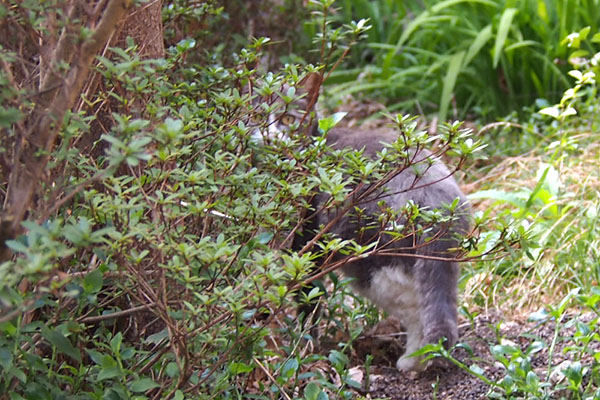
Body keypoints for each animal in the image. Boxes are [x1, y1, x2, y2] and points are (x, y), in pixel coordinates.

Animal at [251, 72, 472, 372]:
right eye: (257, 116)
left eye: (287, 119)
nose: (270, 137)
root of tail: (437, 198)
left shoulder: (304, 247)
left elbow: (307, 301)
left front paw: (303, 347)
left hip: (367, 258)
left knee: (416, 308)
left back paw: (413, 360)